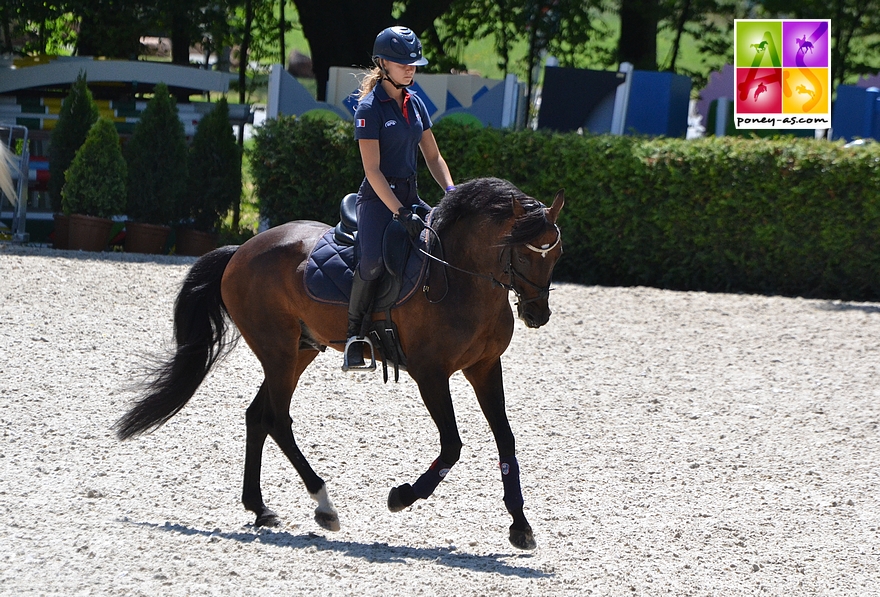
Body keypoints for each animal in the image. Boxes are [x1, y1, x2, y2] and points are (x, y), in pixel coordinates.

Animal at [115, 177, 564, 548]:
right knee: (276, 419)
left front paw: (521, 526)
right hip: (279, 352)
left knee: (257, 416)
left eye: (555, 253)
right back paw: (324, 505)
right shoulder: (431, 374)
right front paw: (402, 496)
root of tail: (241, 250)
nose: (538, 314)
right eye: (524, 252)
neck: (460, 277)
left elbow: (506, 441)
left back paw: (259, 508)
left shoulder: (485, 368)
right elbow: (452, 446)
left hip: (299, 350)